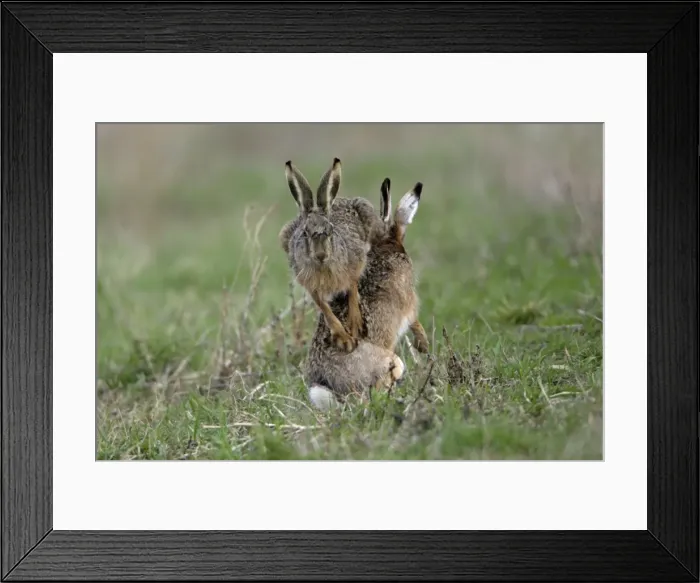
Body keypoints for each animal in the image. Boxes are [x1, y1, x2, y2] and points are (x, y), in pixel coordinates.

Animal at [278, 157, 385, 353]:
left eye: (330, 230)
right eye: (305, 233)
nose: (321, 255)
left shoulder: (354, 263)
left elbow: (352, 288)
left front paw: (355, 325)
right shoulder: (310, 285)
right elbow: (324, 308)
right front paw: (344, 339)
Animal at [304, 177, 430, 411]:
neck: (386, 243)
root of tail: (329, 387)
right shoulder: (409, 302)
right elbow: (414, 320)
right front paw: (423, 344)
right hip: (392, 362)